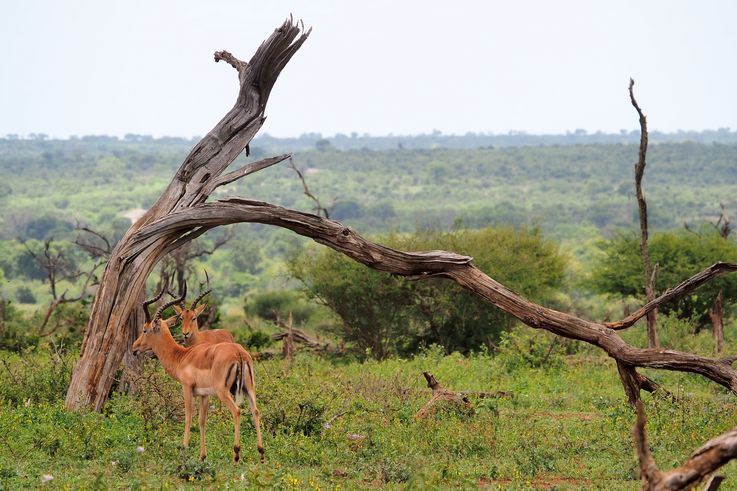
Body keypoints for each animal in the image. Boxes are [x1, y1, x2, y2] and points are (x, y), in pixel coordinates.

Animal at [133, 278, 264, 463]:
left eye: (145, 330)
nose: (134, 347)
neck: (181, 356)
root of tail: (239, 354)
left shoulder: (187, 388)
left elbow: (188, 416)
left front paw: (184, 448)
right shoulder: (204, 395)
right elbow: (202, 420)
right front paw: (202, 456)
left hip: (223, 392)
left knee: (237, 411)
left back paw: (236, 454)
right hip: (249, 388)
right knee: (256, 411)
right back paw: (261, 454)